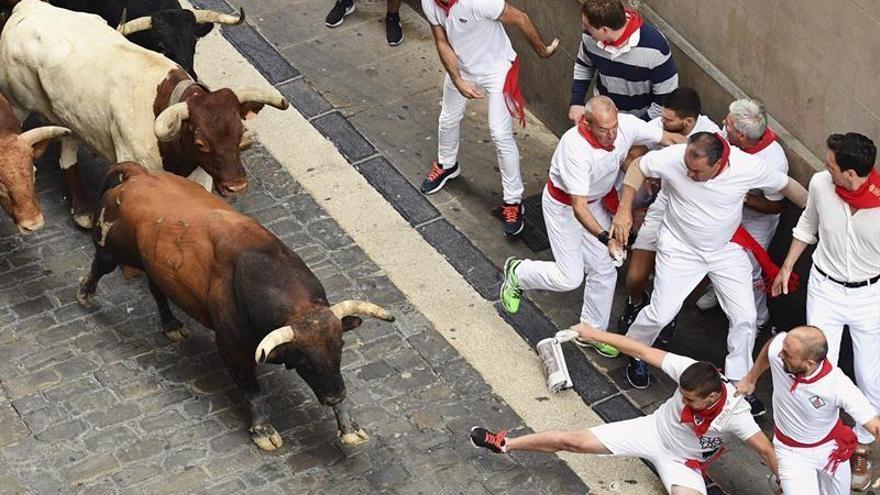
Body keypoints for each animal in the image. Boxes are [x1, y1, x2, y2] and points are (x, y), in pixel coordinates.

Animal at [77, 165, 394, 452]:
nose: (333, 397)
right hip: (112, 251)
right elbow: (253, 391)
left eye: (340, 348)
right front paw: (263, 431)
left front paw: (348, 426)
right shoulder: (233, 348)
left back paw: (171, 325)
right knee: (99, 267)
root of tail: (138, 174)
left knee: (157, 290)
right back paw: (85, 292)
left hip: (156, 267)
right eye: (304, 361)